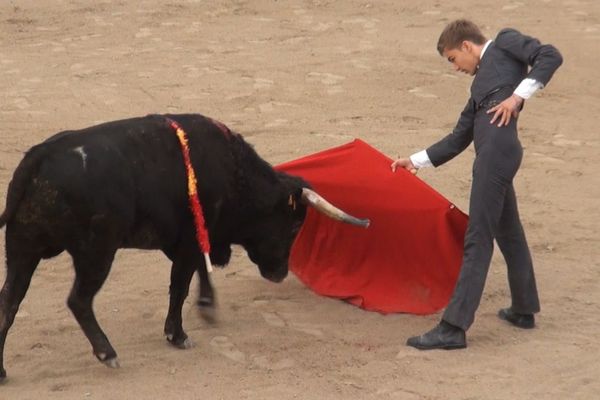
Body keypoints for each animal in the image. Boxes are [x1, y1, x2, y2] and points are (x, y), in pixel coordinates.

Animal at [0, 114, 368, 380]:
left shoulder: (187, 240)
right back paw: (108, 353)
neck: (234, 172)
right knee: (78, 300)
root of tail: (39, 157)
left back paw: (3, 372)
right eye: (293, 225)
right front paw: (177, 335)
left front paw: (207, 306)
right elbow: (180, 285)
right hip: (96, 253)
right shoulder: (190, 240)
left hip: (21, 250)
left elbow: (198, 273)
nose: (280, 273)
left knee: (9, 301)